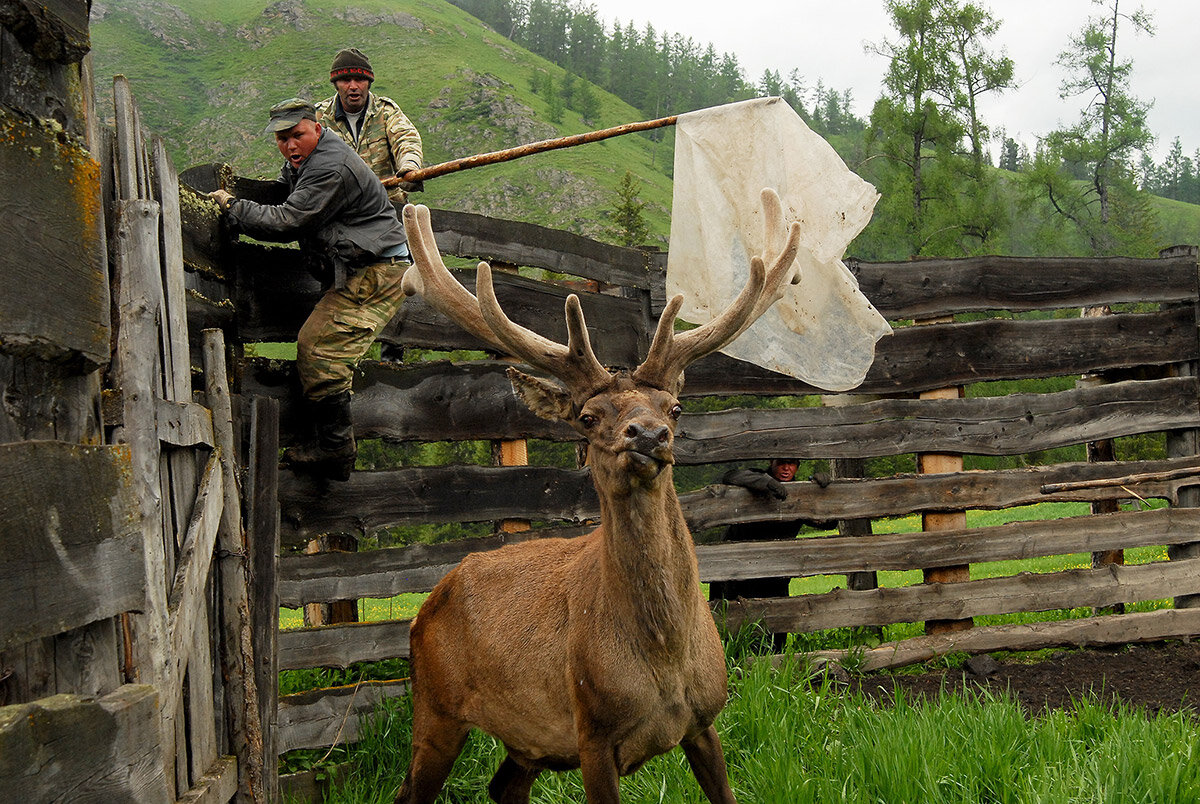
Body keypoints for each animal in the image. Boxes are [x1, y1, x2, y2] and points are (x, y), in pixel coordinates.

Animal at [393, 190, 801, 804]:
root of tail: (424, 607)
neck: (664, 664)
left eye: (674, 408)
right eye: (588, 418)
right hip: (434, 706)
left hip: (528, 741)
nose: (647, 435)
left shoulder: (704, 722)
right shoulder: (593, 732)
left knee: (503, 785)